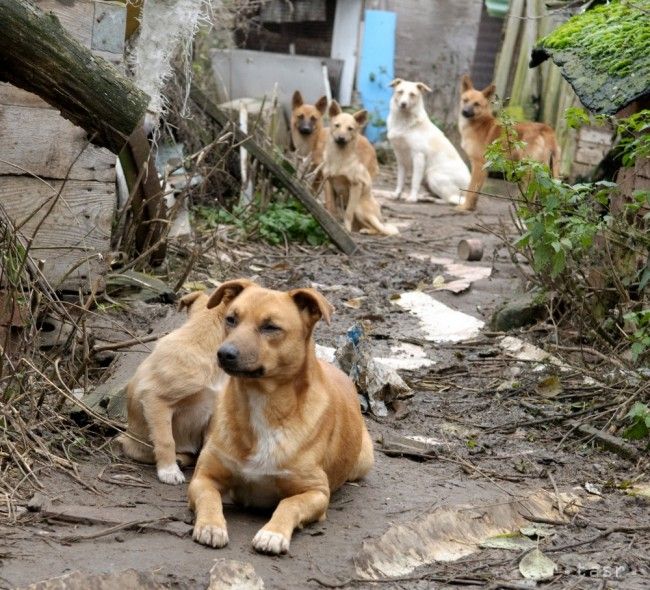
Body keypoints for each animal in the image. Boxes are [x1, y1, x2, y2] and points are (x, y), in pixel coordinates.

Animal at [117, 290, 239, 488]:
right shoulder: (156, 399)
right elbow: (166, 440)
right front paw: (168, 471)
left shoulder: (216, 411)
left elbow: (208, 445)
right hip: (135, 442)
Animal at [186, 280, 374, 556]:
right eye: (231, 319)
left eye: (270, 327)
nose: (224, 353)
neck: (261, 403)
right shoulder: (203, 478)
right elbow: (209, 497)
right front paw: (211, 525)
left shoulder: (317, 492)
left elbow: (289, 504)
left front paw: (273, 533)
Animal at [458, 74, 560, 213]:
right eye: (465, 100)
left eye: (476, 104)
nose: (464, 112)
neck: (479, 123)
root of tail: (545, 128)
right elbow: (476, 192)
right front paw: (471, 207)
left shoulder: (479, 165)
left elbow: (471, 189)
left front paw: (465, 207)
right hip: (552, 173)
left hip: (529, 174)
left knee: (531, 198)